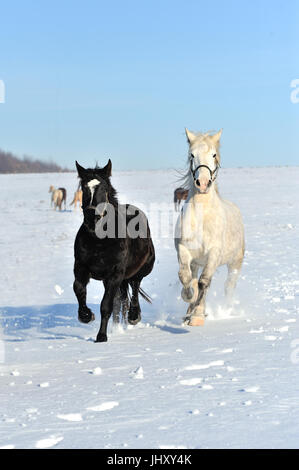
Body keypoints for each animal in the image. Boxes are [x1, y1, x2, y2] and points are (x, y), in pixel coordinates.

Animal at [73, 161, 156, 342]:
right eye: (83, 187)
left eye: (103, 188)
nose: (92, 217)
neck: (99, 240)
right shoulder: (81, 268)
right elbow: (79, 289)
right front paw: (86, 315)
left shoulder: (115, 275)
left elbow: (106, 306)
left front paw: (101, 336)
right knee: (121, 301)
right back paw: (118, 326)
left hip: (139, 270)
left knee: (135, 287)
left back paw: (133, 317)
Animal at [176, 129, 246, 326]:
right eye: (192, 155)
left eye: (214, 155)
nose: (203, 182)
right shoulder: (184, 250)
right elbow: (186, 277)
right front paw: (189, 299)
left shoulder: (214, 253)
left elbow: (204, 282)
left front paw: (197, 315)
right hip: (198, 261)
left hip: (235, 262)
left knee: (228, 286)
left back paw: (226, 310)